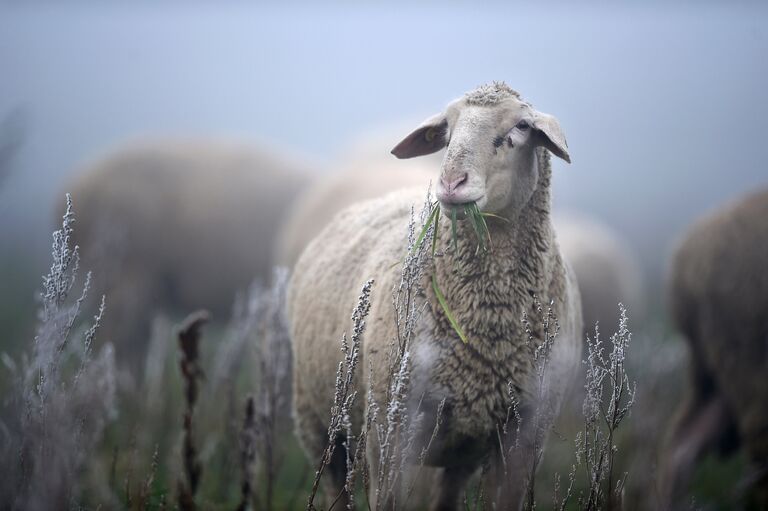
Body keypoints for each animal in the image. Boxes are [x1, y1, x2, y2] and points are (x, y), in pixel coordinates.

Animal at [288, 82, 584, 510]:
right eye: (447, 129)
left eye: (523, 126)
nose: (451, 182)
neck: (488, 325)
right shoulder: (390, 429)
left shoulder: (524, 436)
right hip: (321, 424)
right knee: (333, 485)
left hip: (459, 449)